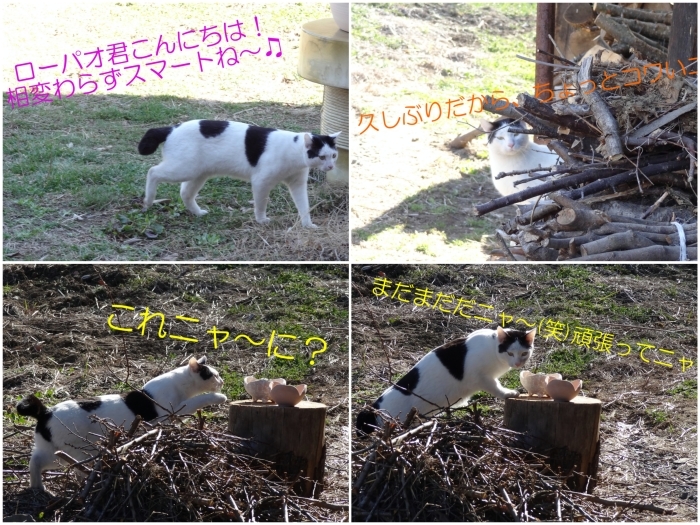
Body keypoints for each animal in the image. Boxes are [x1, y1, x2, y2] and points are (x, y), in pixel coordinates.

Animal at [16, 354, 226, 490]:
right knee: (78, 469)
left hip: (53, 452)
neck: (181, 386)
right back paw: (93, 480)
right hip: (77, 450)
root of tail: (46, 411)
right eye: (213, 375)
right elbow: (198, 400)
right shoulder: (170, 412)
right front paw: (220, 397)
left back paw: (38, 488)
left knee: (35, 462)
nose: (222, 381)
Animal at [138, 119, 340, 228]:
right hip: (183, 168)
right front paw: (261, 220)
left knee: (185, 193)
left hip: (198, 173)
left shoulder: (297, 184)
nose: (331, 167)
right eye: (322, 157)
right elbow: (261, 204)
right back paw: (148, 200)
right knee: (152, 172)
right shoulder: (261, 181)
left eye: (334, 155)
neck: (293, 151)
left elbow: (304, 206)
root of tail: (171, 128)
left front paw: (308, 225)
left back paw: (197, 212)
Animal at [358, 328, 532, 434]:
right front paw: (509, 393)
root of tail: (373, 408)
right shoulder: (481, 377)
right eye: (510, 353)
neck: (492, 349)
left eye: (524, 353)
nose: (518, 364)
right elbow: (496, 387)